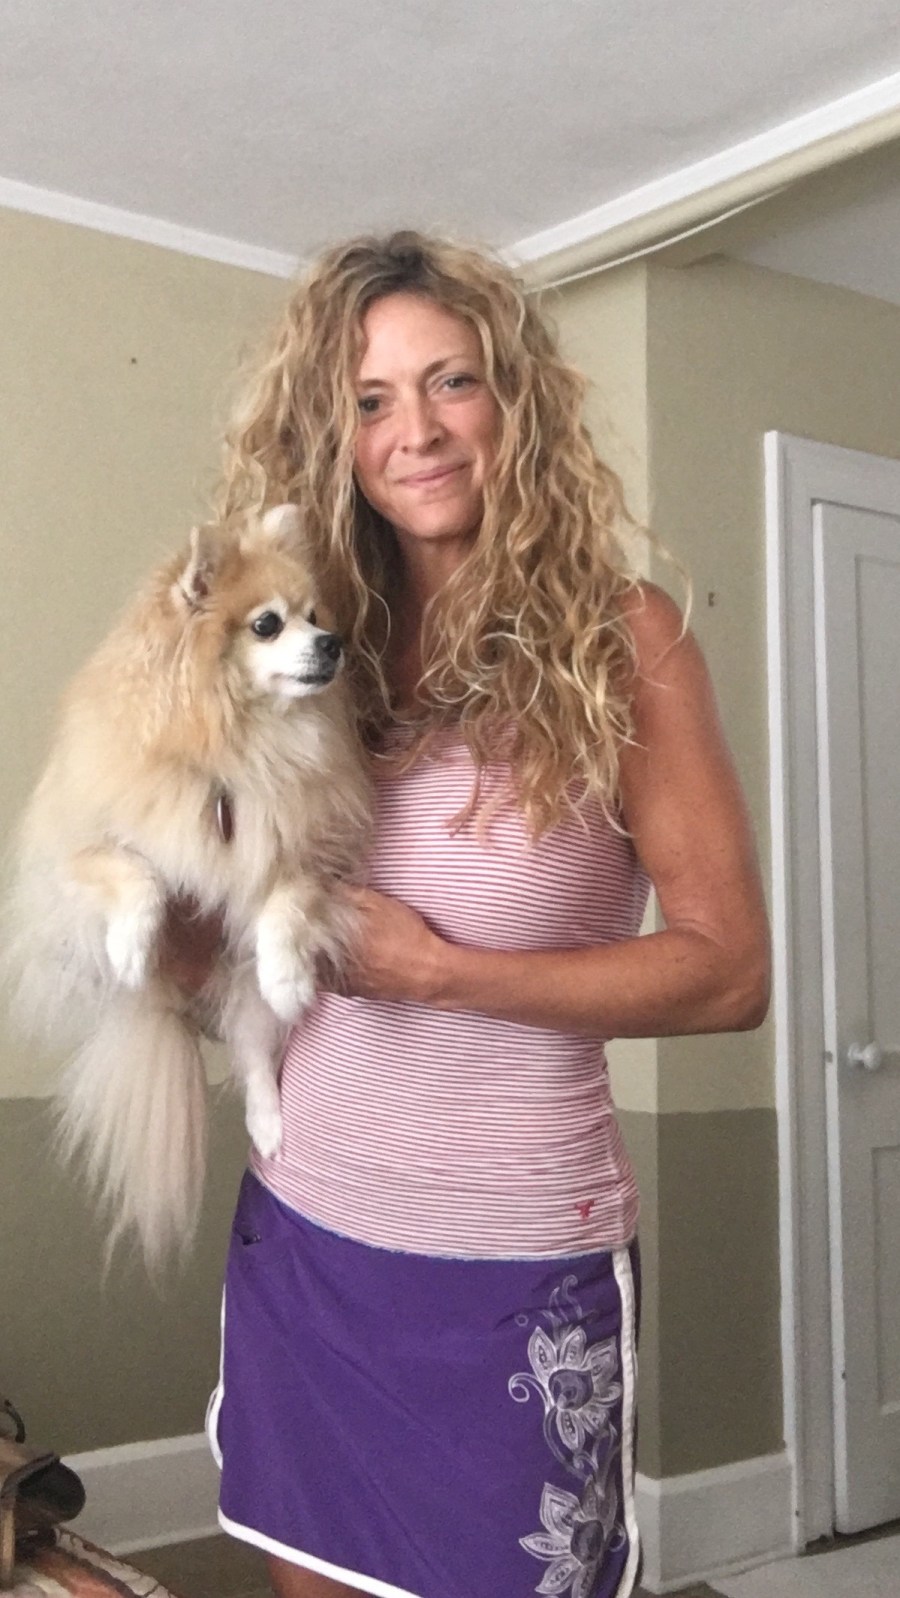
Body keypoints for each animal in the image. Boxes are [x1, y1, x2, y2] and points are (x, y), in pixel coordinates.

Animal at [4, 503, 370, 1270]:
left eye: (315, 615)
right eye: (268, 624)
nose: (333, 643)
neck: (237, 744)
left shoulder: (304, 851)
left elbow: (284, 903)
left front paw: (288, 974)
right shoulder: (73, 853)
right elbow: (133, 870)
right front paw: (133, 944)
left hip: (240, 992)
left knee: (254, 1050)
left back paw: (268, 1125)